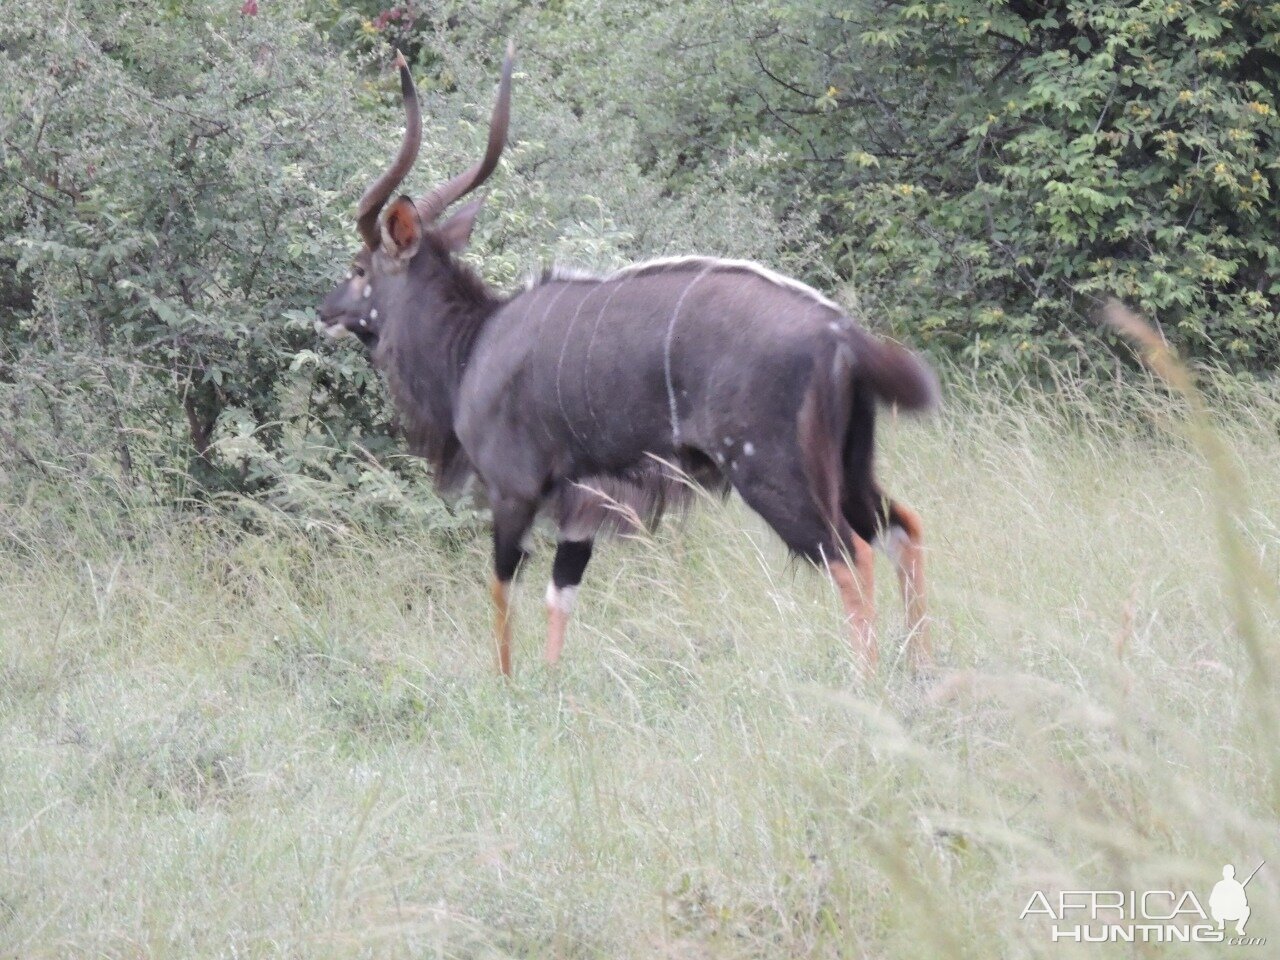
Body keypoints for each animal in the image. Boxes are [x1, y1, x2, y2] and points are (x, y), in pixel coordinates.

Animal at [320, 45, 942, 675]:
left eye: (359, 268)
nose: (325, 312)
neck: (473, 345)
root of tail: (842, 334)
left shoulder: (513, 491)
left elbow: (502, 592)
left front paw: (508, 684)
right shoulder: (582, 505)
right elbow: (560, 594)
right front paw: (552, 682)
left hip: (773, 475)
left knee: (853, 554)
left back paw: (869, 680)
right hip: (849, 468)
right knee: (904, 527)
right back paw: (921, 667)